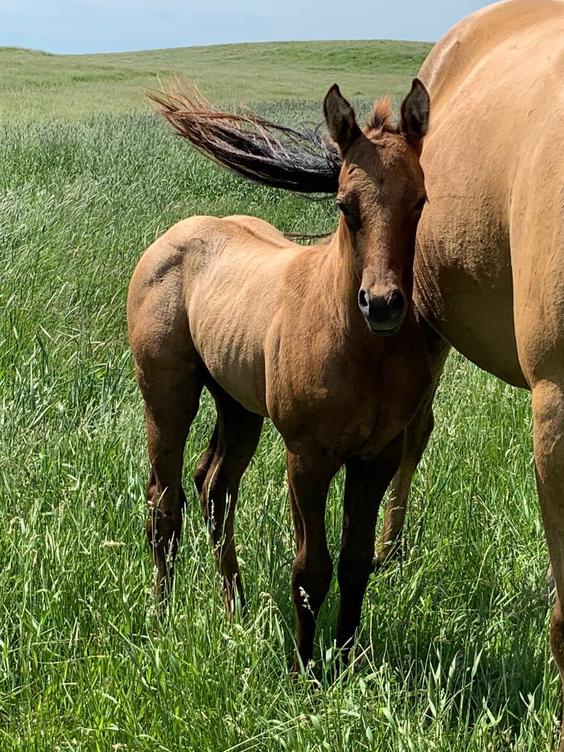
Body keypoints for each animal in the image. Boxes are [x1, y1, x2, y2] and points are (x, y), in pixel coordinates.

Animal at [128, 80, 431, 671]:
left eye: (420, 202)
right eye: (344, 205)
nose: (382, 304)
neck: (364, 351)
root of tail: (174, 235)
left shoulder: (377, 457)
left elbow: (355, 561)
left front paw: (346, 659)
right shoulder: (306, 458)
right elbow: (311, 569)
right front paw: (303, 671)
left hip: (238, 405)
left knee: (214, 488)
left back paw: (236, 608)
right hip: (168, 396)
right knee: (164, 502)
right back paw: (160, 615)